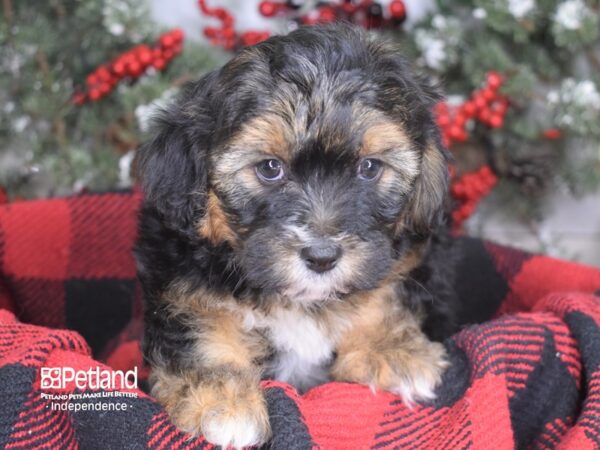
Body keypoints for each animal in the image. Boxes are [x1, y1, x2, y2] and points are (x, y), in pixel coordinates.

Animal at [134, 24, 458, 450]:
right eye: (270, 168)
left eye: (369, 168)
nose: (322, 256)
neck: (301, 303)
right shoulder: (178, 275)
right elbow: (200, 325)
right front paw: (222, 400)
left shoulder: (407, 257)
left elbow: (384, 292)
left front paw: (392, 350)